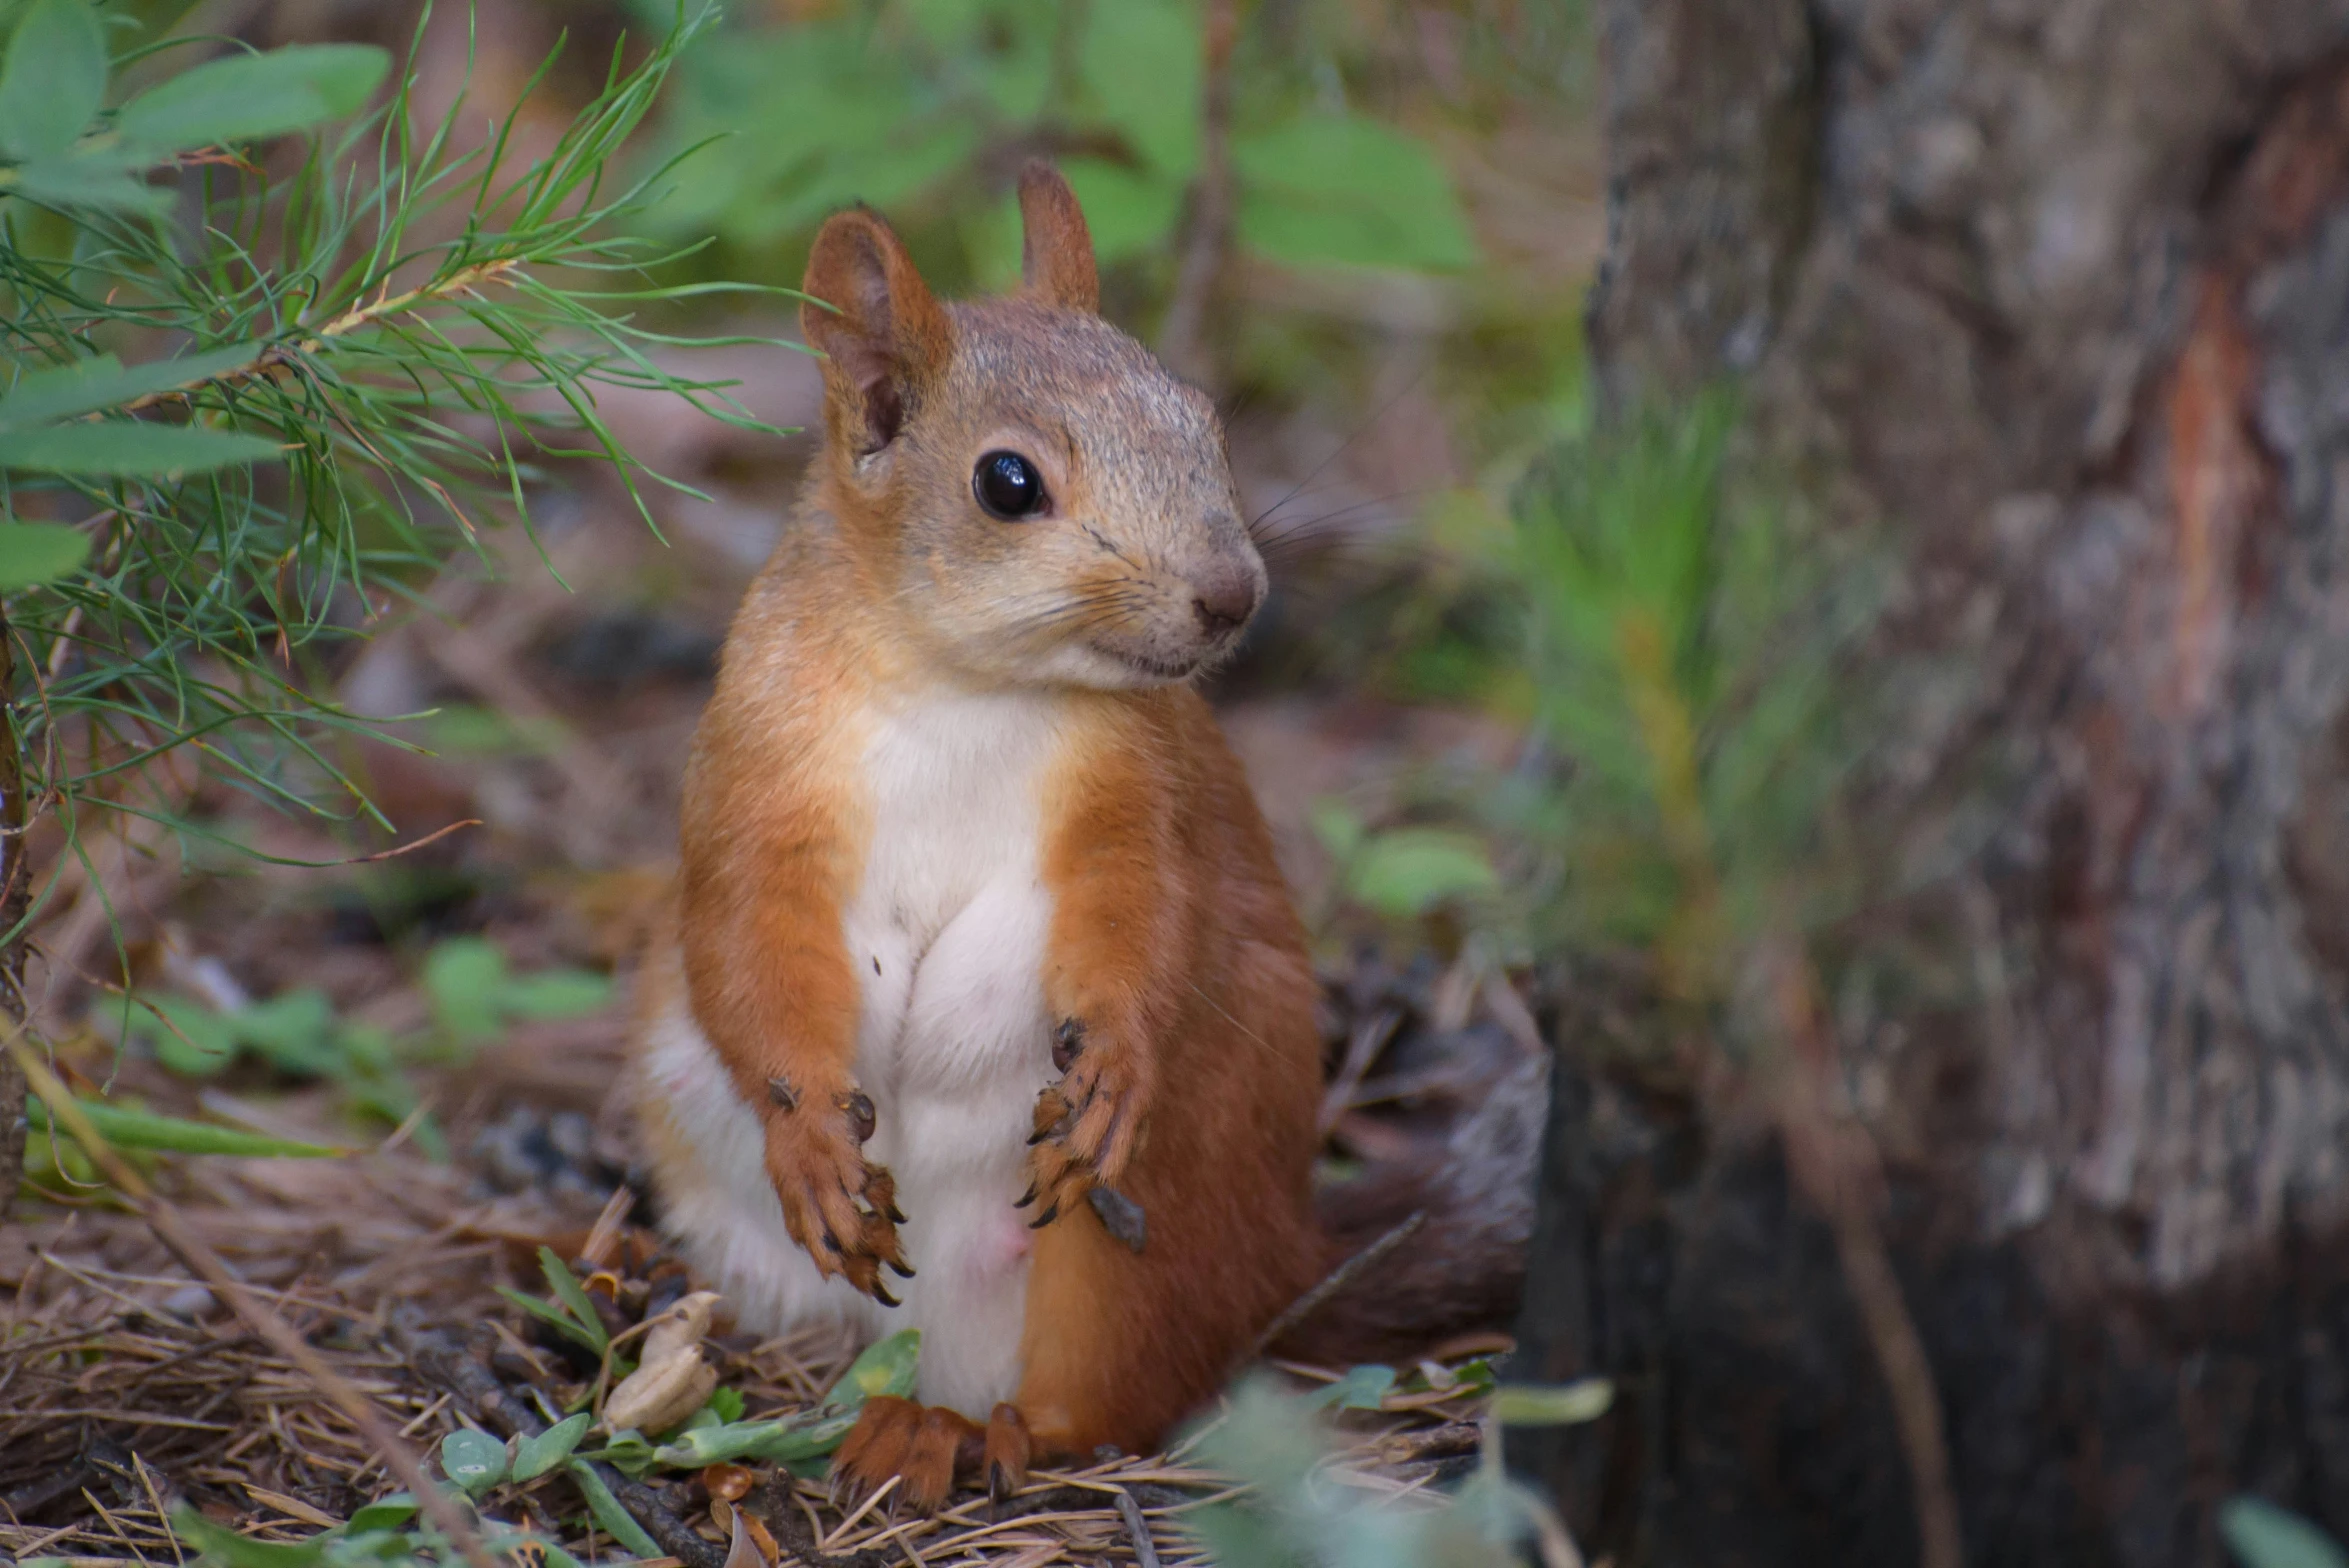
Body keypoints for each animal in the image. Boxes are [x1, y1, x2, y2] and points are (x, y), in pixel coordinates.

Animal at [634, 165, 1531, 1511]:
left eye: (1205, 422)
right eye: (1007, 483)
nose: (1233, 593)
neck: (960, 687)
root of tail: (1285, 1264)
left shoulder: (1136, 792)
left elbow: (1143, 917)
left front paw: (1114, 1055)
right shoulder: (758, 776)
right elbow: (746, 942)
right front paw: (810, 1134)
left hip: (1130, 1239)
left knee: (1109, 1402)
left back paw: (974, 1433)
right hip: (704, 1156)